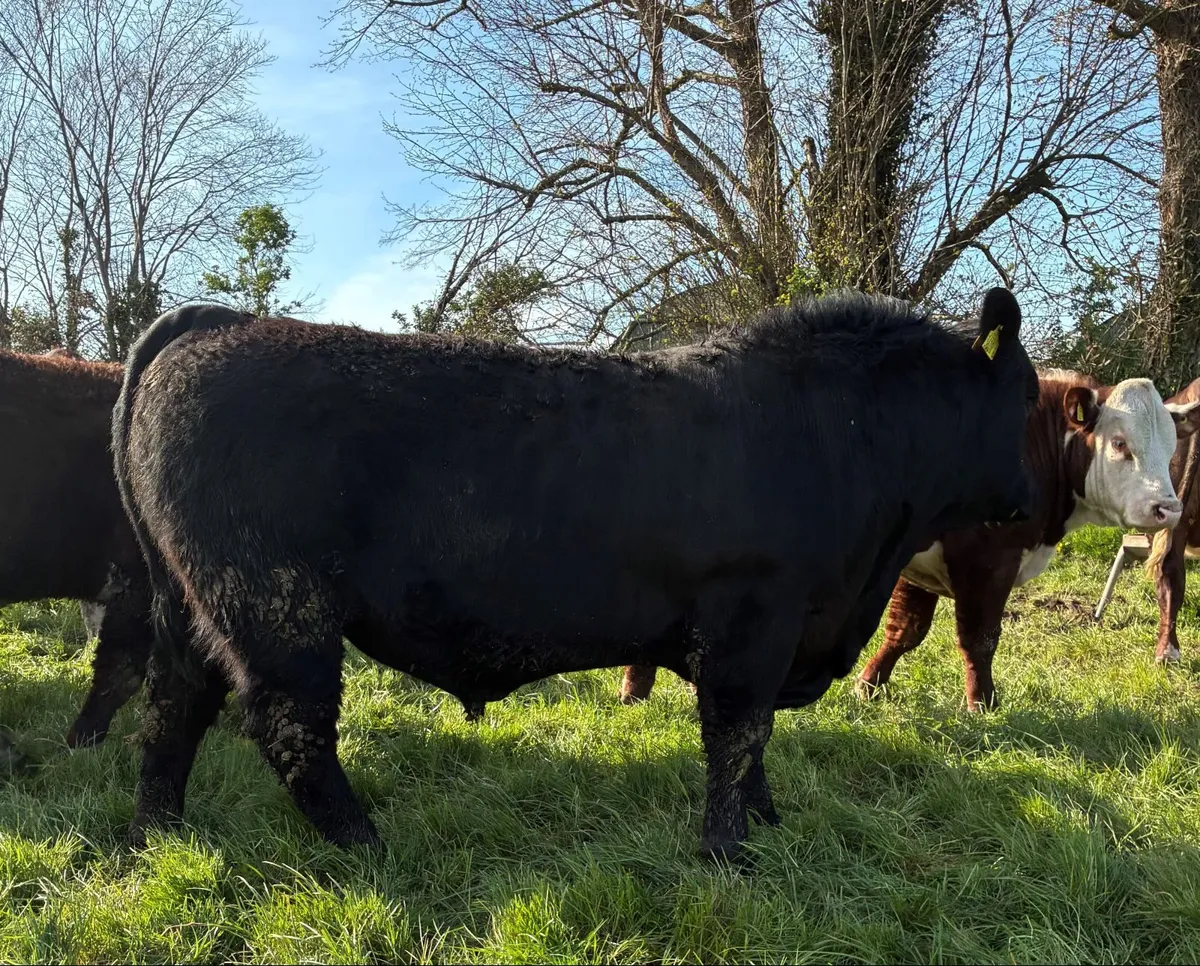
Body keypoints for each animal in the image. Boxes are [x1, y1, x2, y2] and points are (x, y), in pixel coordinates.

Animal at [113, 289, 1039, 862]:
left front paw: (769, 824)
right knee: (289, 727)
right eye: (1031, 398)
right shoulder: (753, 621)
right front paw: (729, 852)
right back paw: (367, 846)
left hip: (195, 604)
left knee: (172, 705)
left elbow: (754, 746)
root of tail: (220, 323)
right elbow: (737, 735)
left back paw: (161, 832)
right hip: (280, 607)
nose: (1033, 502)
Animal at [618, 369, 1200, 710]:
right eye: (1120, 443)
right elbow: (979, 637)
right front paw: (982, 704)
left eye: (1172, 444)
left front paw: (868, 685)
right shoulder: (986, 563)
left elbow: (906, 631)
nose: (1167, 508)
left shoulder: (917, 566)